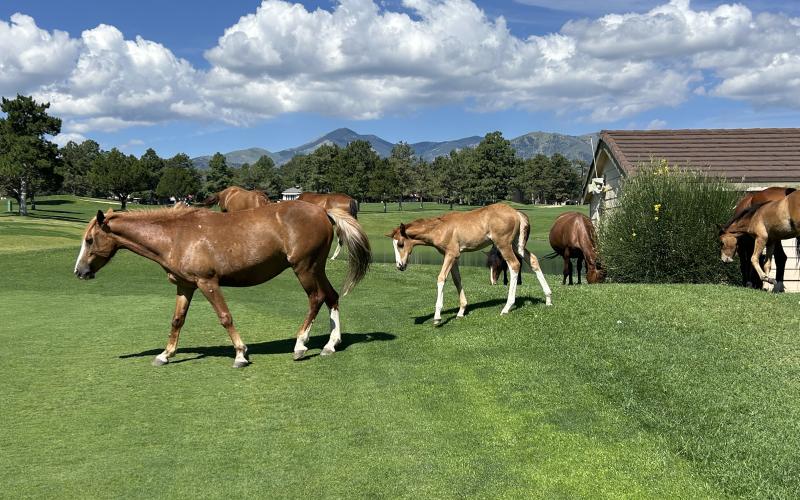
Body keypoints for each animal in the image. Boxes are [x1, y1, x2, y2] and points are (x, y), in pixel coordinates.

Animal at [74, 202, 371, 366]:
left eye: (89, 240)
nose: (79, 271)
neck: (175, 235)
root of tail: (323, 211)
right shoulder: (185, 286)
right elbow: (177, 320)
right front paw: (165, 354)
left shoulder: (208, 283)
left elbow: (225, 317)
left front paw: (240, 354)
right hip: (316, 268)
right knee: (332, 296)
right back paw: (330, 344)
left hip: (305, 268)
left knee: (316, 298)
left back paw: (300, 345)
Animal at [387, 203, 552, 325]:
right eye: (394, 245)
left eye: (400, 244)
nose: (400, 266)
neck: (440, 228)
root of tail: (517, 212)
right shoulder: (453, 256)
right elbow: (457, 280)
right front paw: (461, 311)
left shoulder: (451, 254)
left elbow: (441, 278)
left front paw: (437, 316)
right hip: (516, 244)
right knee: (533, 260)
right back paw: (548, 298)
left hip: (503, 244)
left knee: (514, 265)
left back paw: (507, 307)